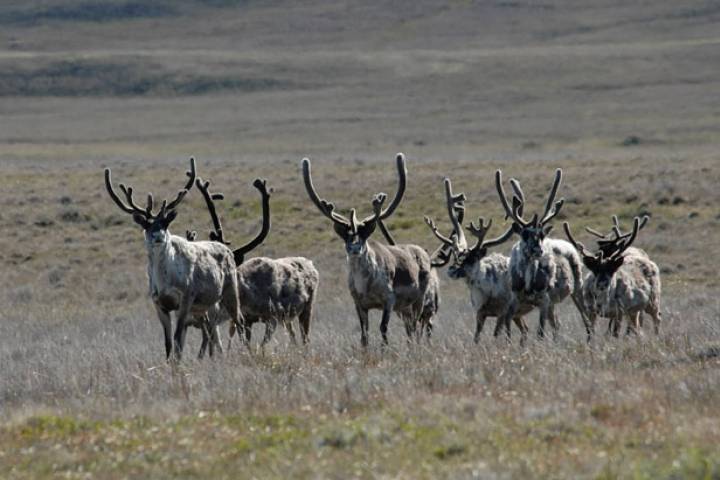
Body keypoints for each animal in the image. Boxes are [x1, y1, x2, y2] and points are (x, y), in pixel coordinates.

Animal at [104, 158, 243, 361]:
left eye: (166, 223)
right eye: (146, 225)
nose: (158, 236)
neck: (164, 281)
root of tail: (227, 249)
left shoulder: (185, 299)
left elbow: (177, 342)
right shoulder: (158, 304)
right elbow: (169, 345)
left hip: (230, 290)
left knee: (239, 321)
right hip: (206, 306)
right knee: (210, 330)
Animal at [191, 175, 319, 351]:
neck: (246, 294)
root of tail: (310, 264)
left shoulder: (272, 317)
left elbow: (262, 345)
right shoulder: (245, 320)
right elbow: (246, 343)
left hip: (307, 307)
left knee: (306, 338)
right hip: (288, 318)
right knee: (293, 335)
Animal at [301, 153, 437, 347]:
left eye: (364, 235)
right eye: (346, 236)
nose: (354, 247)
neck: (364, 285)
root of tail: (424, 254)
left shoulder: (389, 299)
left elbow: (383, 328)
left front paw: (384, 349)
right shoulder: (358, 303)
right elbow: (364, 334)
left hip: (418, 299)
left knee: (416, 326)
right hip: (405, 307)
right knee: (410, 328)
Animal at [425, 177, 532, 343]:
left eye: (473, 258)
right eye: (456, 255)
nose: (451, 270)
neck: (486, 291)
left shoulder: (503, 312)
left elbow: (496, 334)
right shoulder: (479, 312)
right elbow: (476, 337)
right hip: (517, 314)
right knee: (525, 329)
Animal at [495, 168, 591, 341]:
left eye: (541, 235)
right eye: (524, 234)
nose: (539, 250)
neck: (528, 284)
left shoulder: (544, 300)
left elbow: (540, 331)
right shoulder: (515, 299)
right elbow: (507, 323)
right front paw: (508, 343)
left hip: (576, 288)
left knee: (585, 317)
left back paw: (589, 338)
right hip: (553, 303)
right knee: (557, 324)